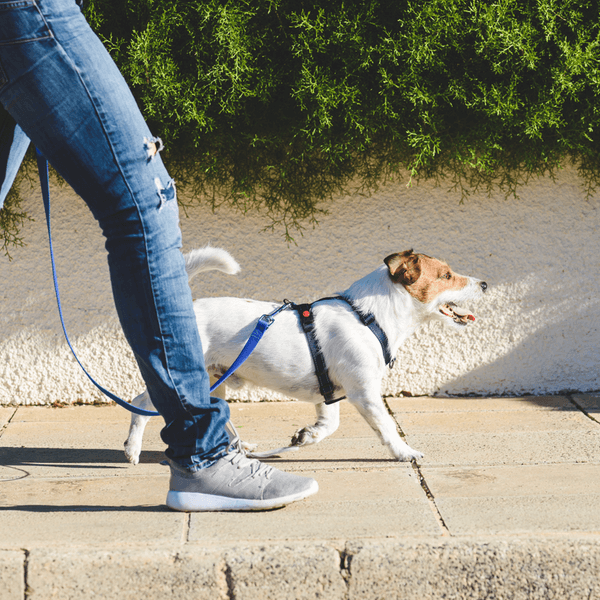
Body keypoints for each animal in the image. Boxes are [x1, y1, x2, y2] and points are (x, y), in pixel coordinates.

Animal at [124, 248, 486, 464]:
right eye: (446, 275)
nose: (484, 284)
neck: (369, 316)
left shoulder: (330, 394)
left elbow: (329, 425)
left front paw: (307, 436)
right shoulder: (365, 392)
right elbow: (386, 427)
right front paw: (404, 452)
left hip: (215, 380)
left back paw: (240, 447)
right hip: (185, 378)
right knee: (141, 405)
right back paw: (132, 449)